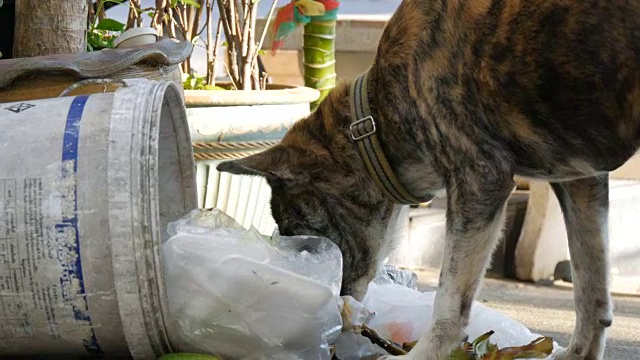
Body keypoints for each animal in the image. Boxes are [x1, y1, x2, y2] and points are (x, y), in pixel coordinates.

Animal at [216, 0, 640, 358]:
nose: (334, 308)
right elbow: (591, 292)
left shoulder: (480, 181)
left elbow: (449, 302)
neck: (374, 122)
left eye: (298, 234)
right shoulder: (582, 180)